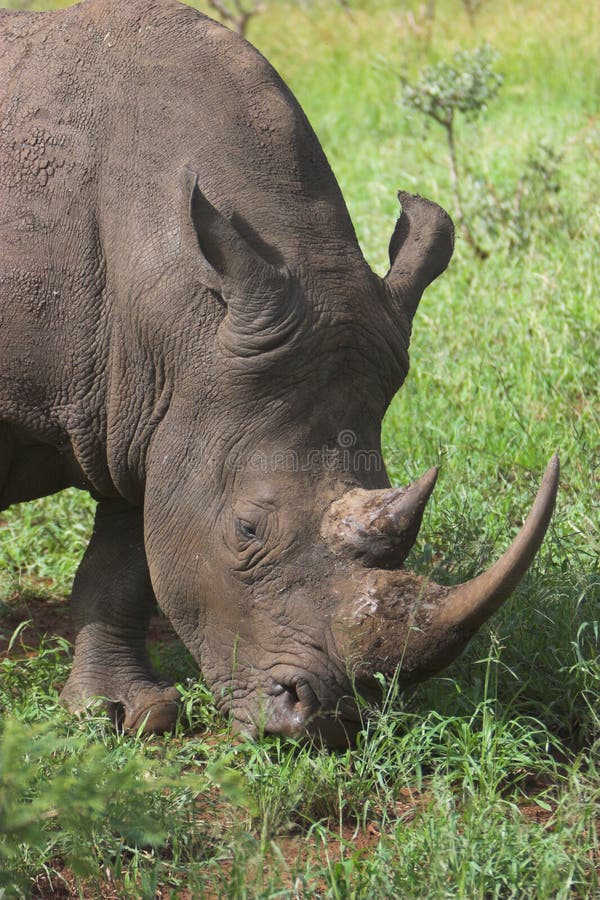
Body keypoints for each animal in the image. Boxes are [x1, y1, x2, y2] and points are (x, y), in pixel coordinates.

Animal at [0, 0, 558, 745]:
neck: (185, 310)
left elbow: (125, 561)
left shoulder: (148, 410)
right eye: (246, 531)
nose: (325, 722)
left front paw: (124, 715)